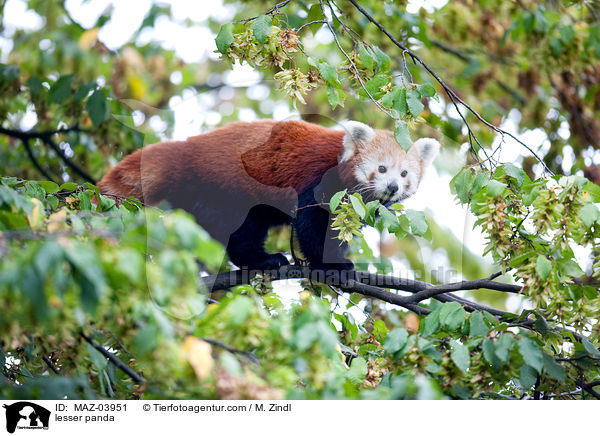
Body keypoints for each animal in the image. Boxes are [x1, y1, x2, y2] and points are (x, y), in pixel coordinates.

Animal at [97, 119, 436, 272]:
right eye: (382, 168)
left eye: (404, 174)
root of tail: (188, 150)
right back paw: (259, 259)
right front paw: (334, 266)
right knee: (234, 228)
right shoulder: (316, 181)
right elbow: (312, 225)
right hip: (227, 187)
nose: (392, 188)